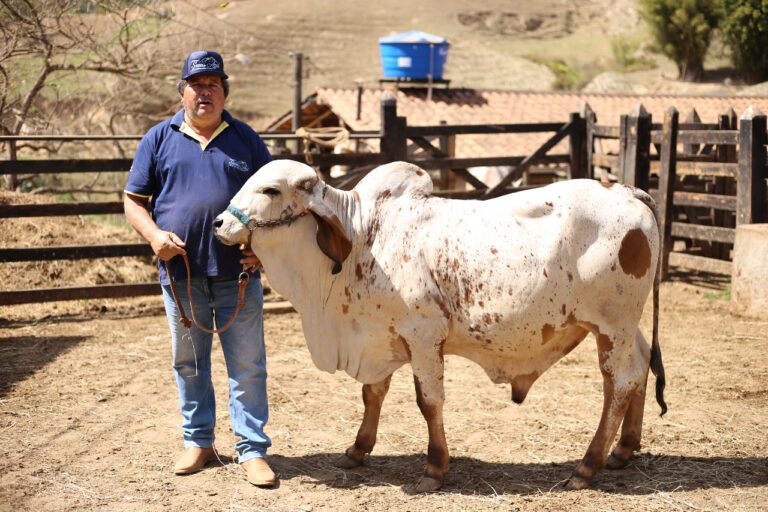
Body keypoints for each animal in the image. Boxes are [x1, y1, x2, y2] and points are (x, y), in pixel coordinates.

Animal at [213, 160, 664, 492]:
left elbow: (428, 402)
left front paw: (434, 469)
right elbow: (372, 394)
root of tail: (626, 190)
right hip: (621, 326)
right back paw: (623, 450)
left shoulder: (424, 335)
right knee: (642, 366)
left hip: (613, 324)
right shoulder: (379, 334)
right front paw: (358, 449)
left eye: (270, 190)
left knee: (619, 383)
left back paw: (588, 466)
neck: (363, 236)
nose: (218, 224)